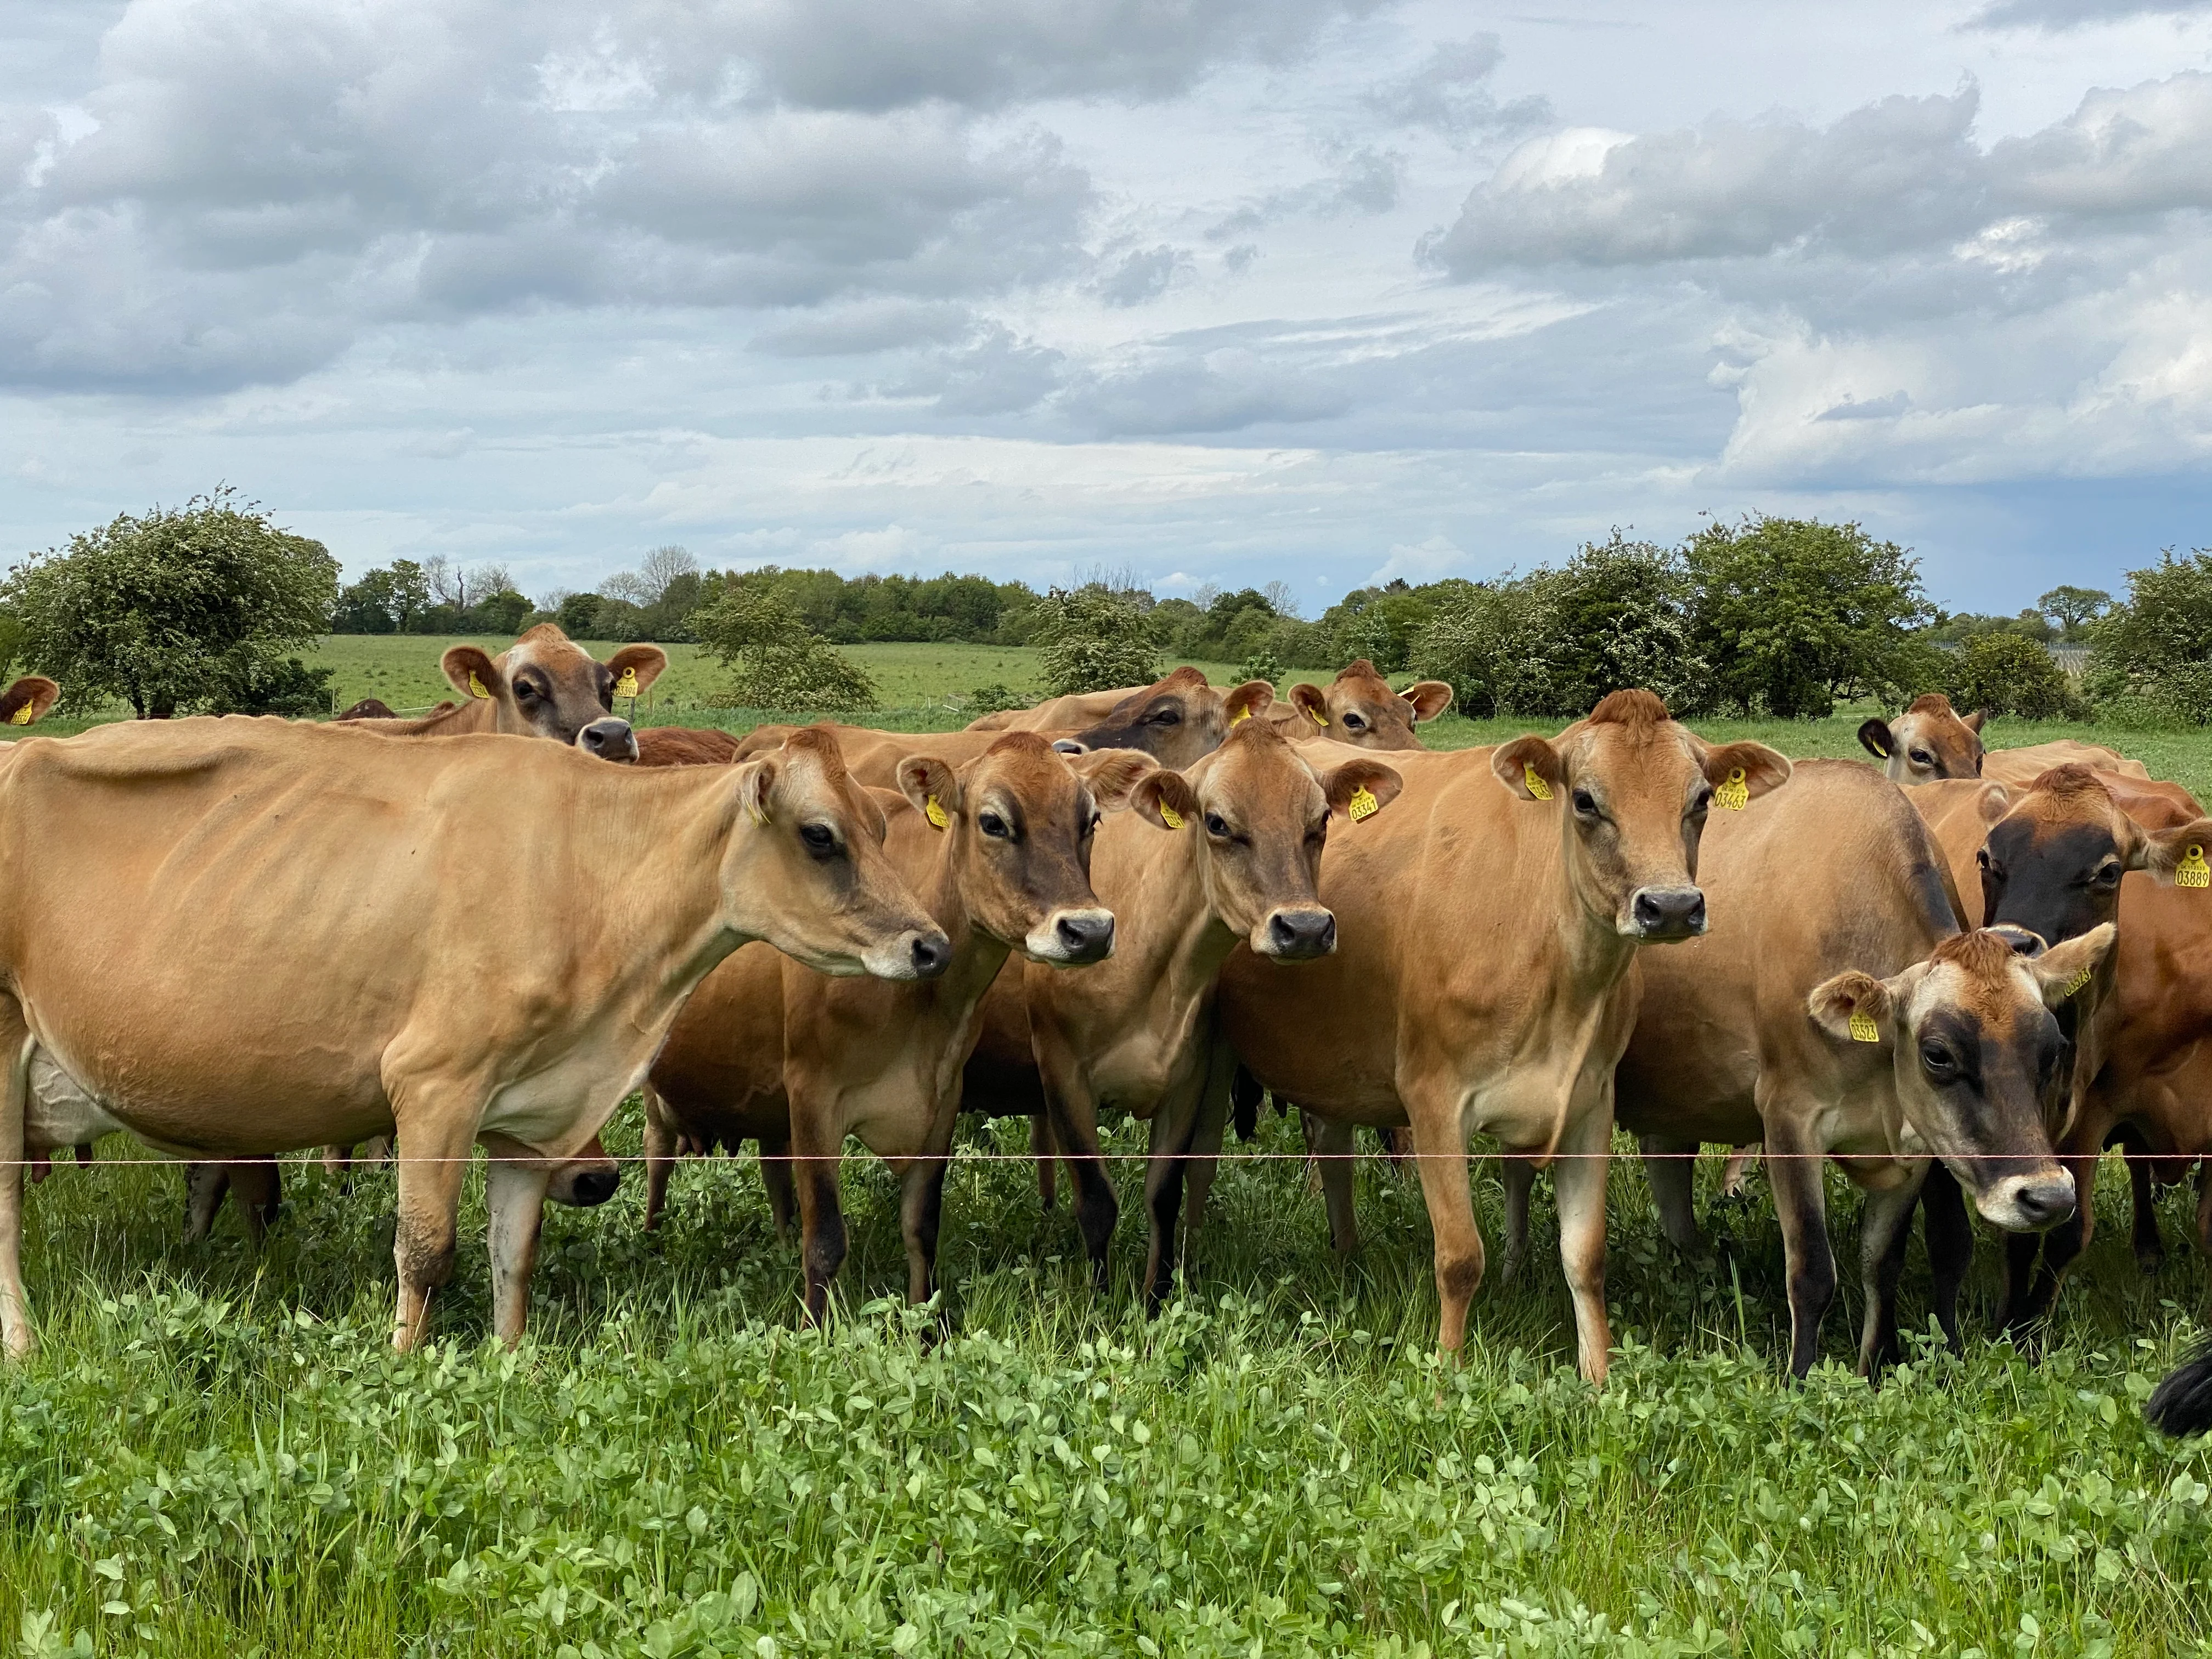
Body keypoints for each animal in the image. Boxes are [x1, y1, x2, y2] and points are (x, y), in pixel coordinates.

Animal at [0, 718, 950, 1358]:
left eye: (882, 826)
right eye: (820, 835)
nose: (929, 945)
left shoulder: (530, 1113)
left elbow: (511, 1258)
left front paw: (508, 1365)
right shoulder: (433, 1084)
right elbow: (425, 1252)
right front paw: (401, 1366)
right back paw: (23, 1343)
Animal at [641, 735, 1155, 1318]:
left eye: (1091, 820)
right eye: (993, 822)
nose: (1088, 931)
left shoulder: (942, 1099)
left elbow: (921, 1227)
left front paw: (926, 1323)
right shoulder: (813, 1094)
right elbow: (825, 1239)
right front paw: (812, 1329)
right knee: (657, 1151)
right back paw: (651, 1238)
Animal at [1210, 690, 1791, 1381]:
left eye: (1701, 799)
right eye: (1585, 801)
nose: (1671, 907)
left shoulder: (1591, 1103)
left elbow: (1586, 1256)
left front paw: (1600, 1377)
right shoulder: (1434, 1100)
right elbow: (1460, 1257)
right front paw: (1447, 1375)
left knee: (1332, 1146)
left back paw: (1348, 1257)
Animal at [1611, 761, 2100, 1376]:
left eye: (2052, 1049)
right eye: (1938, 1054)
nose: (2049, 1197)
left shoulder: (1917, 1142)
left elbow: (1882, 1261)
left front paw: (1876, 1362)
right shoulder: (1789, 1117)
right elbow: (1812, 1270)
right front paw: (1799, 1377)